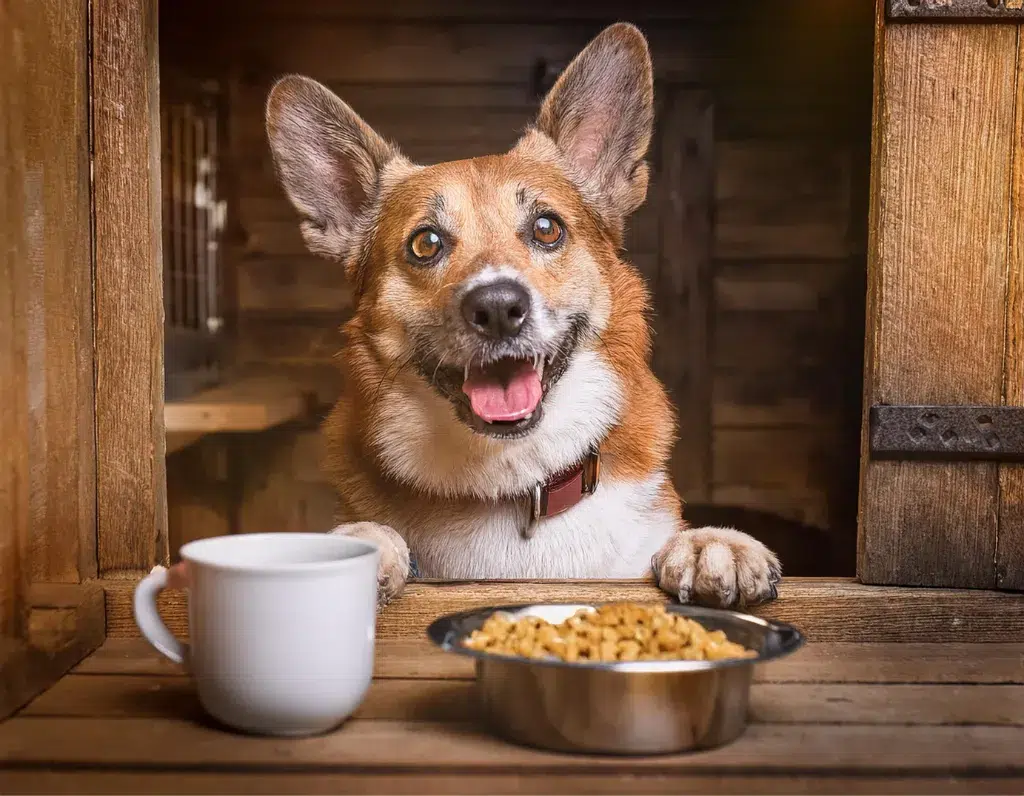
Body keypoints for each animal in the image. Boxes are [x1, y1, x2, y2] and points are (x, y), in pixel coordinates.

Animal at [260, 21, 778, 606]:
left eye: (547, 228)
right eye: (425, 243)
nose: (498, 308)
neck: (511, 482)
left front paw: (711, 543)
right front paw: (367, 542)